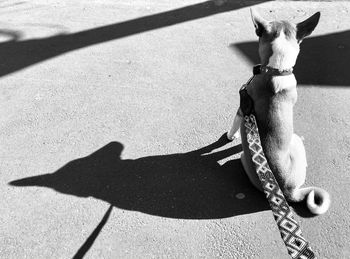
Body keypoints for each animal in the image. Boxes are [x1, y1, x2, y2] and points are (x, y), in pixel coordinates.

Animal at [227, 9, 330, 215]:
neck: (275, 69)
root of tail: (289, 192)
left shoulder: (242, 108)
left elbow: (234, 124)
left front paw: (230, 136)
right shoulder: (242, 109)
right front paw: (230, 136)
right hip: (294, 140)